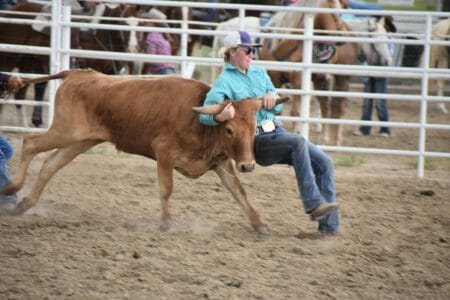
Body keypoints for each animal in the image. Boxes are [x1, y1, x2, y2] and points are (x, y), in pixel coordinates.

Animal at [0, 0, 141, 126]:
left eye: (139, 24)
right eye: (124, 23)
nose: (133, 49)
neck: (103, 33)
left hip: (28, 63)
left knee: (20, 94)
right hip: (10, 60)